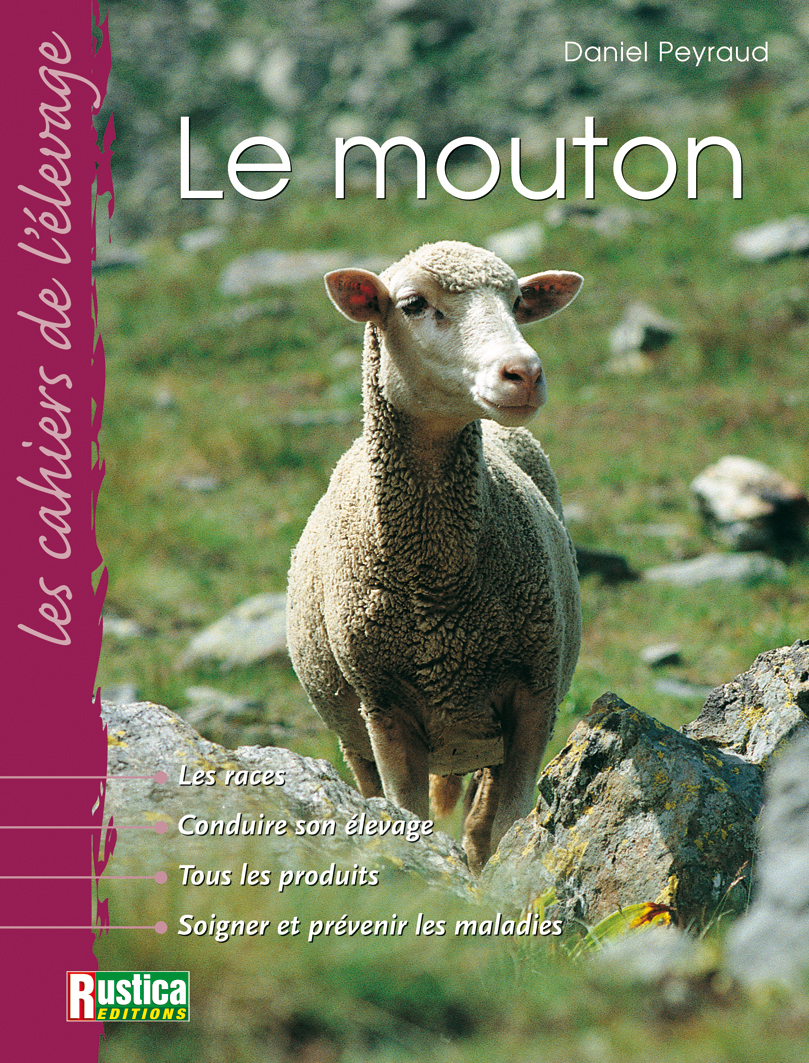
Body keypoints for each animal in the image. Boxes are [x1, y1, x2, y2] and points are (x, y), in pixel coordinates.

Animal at [286, 240, 582, 872]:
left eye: (517, 303)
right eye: (414, 305)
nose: (525, 373)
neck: (440, 584)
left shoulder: (535, 693)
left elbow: (508, 823)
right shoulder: (384, 705)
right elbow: (406, 814)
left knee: (478, 823)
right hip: (353, 735)